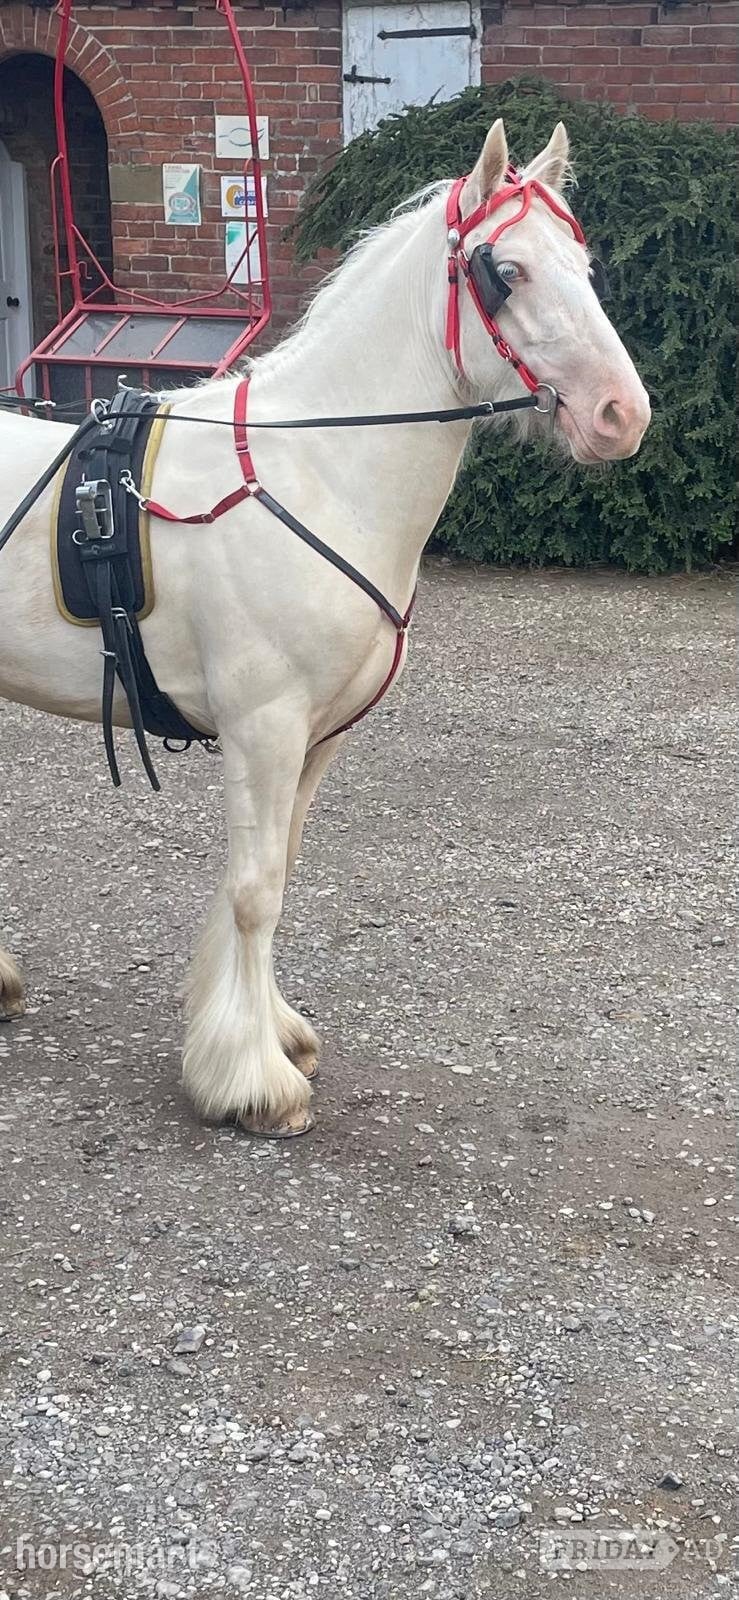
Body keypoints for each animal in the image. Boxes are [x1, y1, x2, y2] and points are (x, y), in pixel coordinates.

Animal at [0, 118, 651, 1136]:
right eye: (504, 271)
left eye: (580, 263)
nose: (623, 415)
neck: (311, 470)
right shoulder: (261, 728)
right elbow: (255, 891)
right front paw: (251, 1081)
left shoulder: (314, 738)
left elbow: (281, 873)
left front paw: (271, 1032)